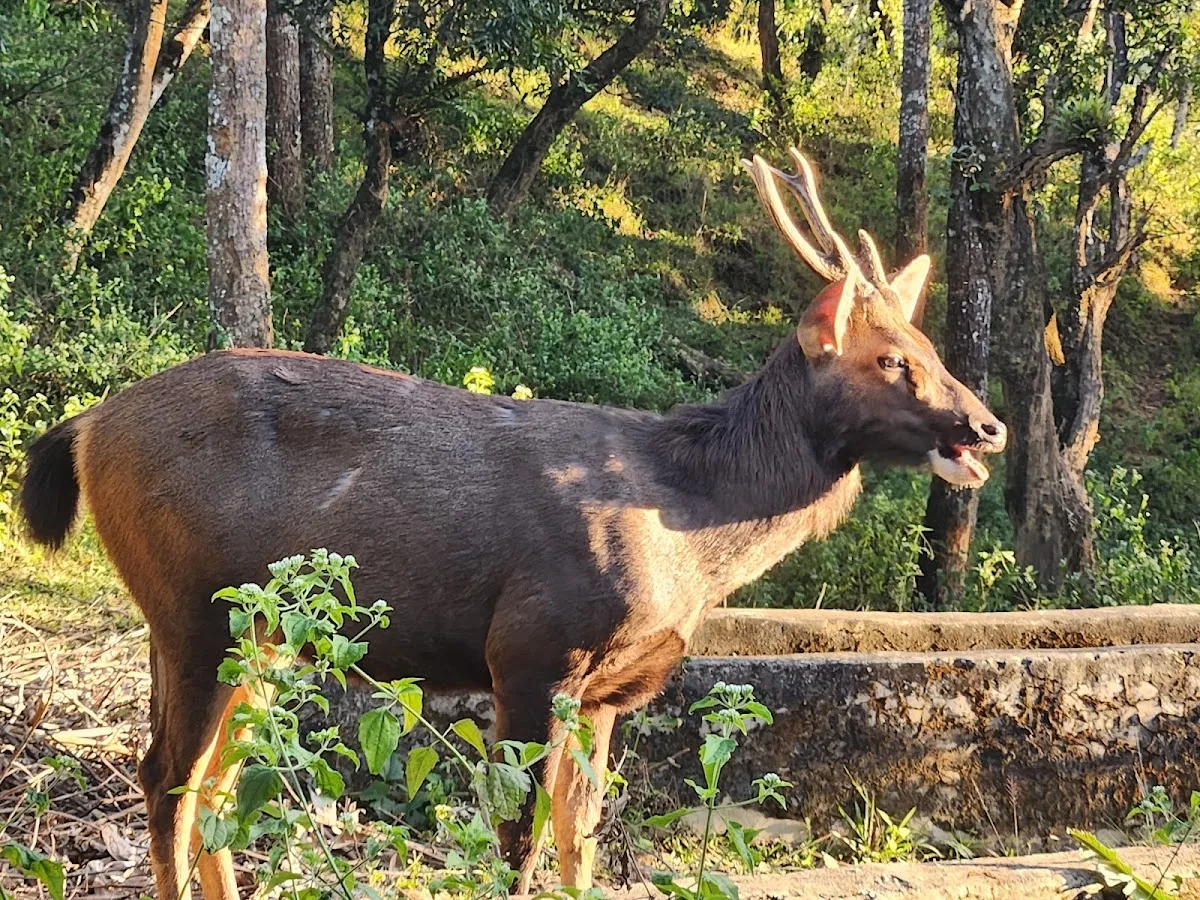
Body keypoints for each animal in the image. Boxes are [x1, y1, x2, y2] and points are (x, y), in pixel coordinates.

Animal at [19, 148, 1005, 899]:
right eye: (892, 360)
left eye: (931, 349)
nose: (988, 425)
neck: (690, 532)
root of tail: (87, 427)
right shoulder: (533, 648)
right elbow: (518, 840)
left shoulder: (606, 689)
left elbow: (581, 841)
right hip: (193, 606)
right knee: (169, 776)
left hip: (265, 629)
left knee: (222, 780)